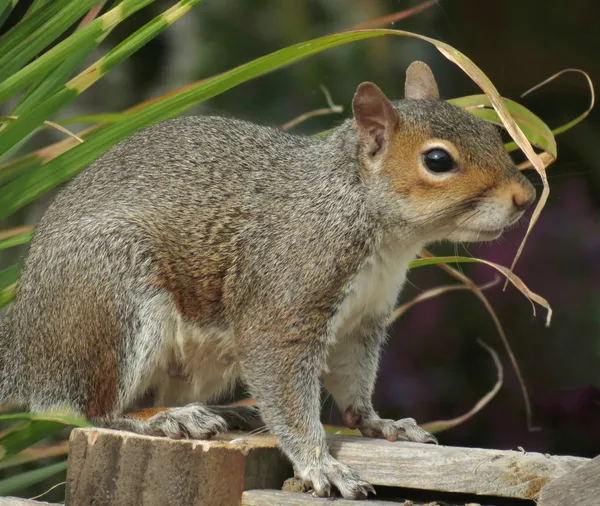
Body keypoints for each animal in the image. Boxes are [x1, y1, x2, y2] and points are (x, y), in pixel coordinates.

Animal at [0, 60, 536, 498]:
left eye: (492, 132)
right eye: (438, 161)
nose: (526, 196)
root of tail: (24, 346)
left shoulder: (364, 319)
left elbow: (353, 383)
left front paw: (379, 423)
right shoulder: (287, 299)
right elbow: (288, 392)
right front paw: (321, 466)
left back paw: (228, 412)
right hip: (112, 302)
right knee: (84, 408)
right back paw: (164, 418)